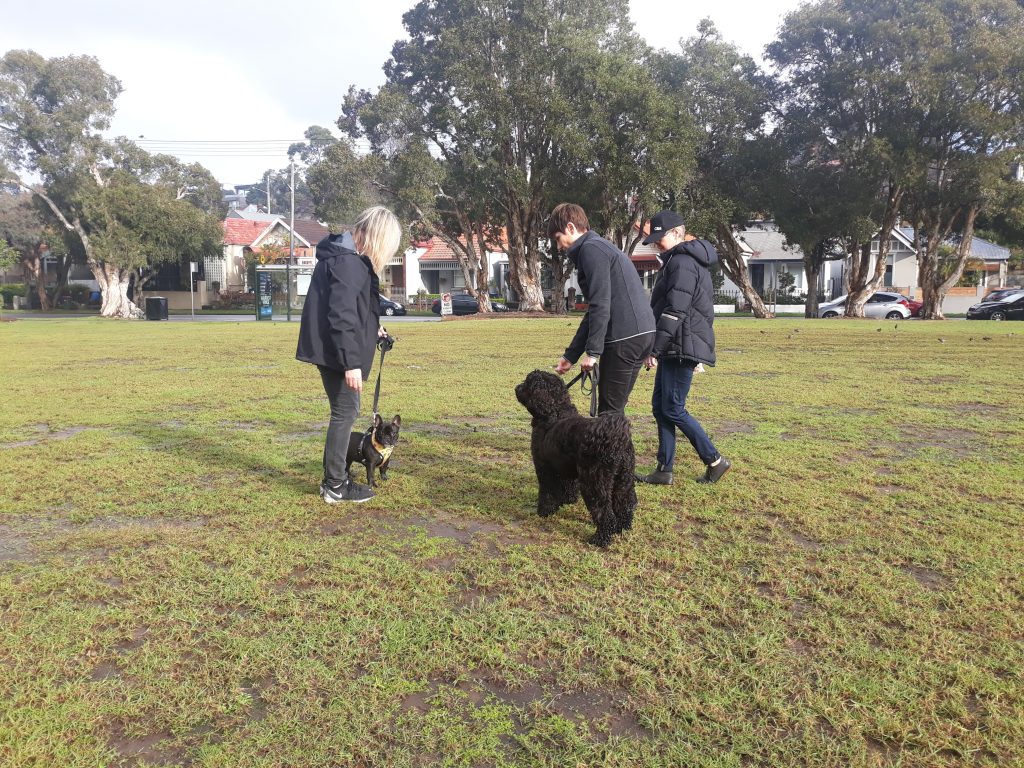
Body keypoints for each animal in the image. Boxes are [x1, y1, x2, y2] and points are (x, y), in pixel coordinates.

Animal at [516, 370, 634, 548]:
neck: (555, 411)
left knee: (604, 513)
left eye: (528, 383)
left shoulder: (544, 468)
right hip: (623, 479)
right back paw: (622, 527)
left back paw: (600, 539)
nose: (517, 387)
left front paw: (544, 511)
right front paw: (567, 500)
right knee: (624, 504)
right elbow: (568, 486)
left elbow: (547, 491)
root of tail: (614, 439)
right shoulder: (565, 467)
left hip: (594, 482)